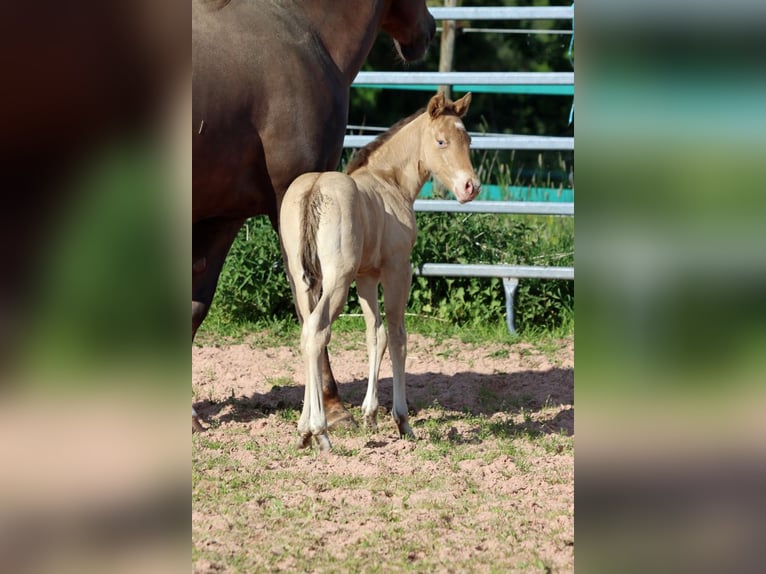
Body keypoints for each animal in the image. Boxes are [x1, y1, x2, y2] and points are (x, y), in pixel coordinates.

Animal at [279, 92, 480, 451]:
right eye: (441, 141)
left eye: (468, 139)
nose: (471, 187)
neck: (389, 182)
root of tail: (314, 189)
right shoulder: (397, 269)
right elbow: (399, 335)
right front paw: (402, 421)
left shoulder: (367, 276)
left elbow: (376, 334)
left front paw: (370, 414)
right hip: (337, 279)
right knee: (317, 331)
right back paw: (320, 431)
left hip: (303, 278)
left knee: (305, 332)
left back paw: (303, 431)